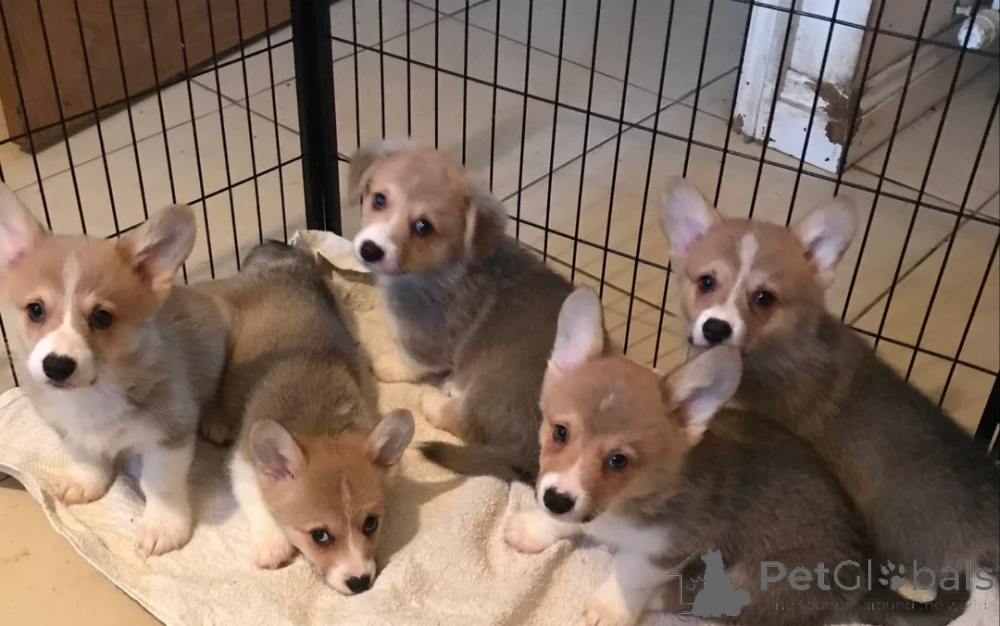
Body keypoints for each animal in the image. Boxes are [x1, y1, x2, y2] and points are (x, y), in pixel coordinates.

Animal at [0, 183, 226, 556]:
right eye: (35, 310)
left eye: (102, 317)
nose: (57, 366)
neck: (93, 392)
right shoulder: (68, 429)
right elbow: (86, 456)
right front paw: (87, 482)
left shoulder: (170, 433)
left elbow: (159, 483)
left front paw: (163, 526)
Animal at [201, 240, 414, 595]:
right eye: (320, 536)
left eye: (371, 523)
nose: (359, 582)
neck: (322, 422)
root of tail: (279, 255)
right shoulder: (244, 461)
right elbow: (258, 499)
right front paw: (272, 545)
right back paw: (214, 420)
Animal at [347, 140, 581, 479]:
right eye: (379, 199)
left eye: (423, 226)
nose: (370, 250)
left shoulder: (429, 334)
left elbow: (411, 358)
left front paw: (387, 365)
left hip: (493, 384)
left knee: (466, 422)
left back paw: (434, 400)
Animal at [504, 288, 954, 626]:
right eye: (560, 432)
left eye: (618, 460)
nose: (556, 499)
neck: (624, 506)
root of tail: (862, 576)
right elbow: (565, 523)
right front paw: (535, 528)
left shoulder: (668, 548)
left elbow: (630, 575)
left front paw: (610, 608)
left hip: (747, 583)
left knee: (696, 600)